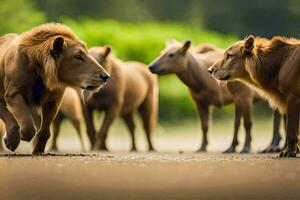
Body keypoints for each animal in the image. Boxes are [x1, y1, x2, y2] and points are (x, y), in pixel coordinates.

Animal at [0, 22, 109, 153]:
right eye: (78, 56)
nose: (106, 76)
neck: (41, 72)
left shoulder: (53, 100)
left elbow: (45, 131)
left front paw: (38, 151)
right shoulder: (14, 93)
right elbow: (28, 126)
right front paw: (15, 139)